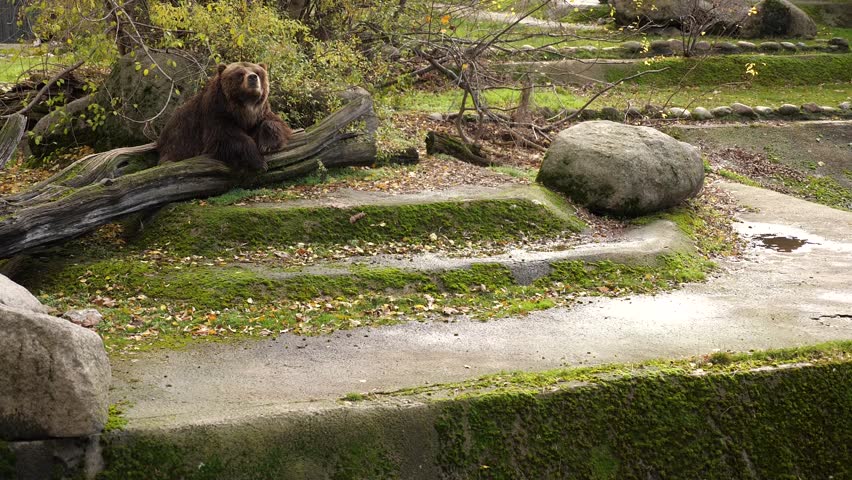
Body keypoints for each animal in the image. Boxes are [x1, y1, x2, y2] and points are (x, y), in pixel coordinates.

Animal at [156, 62, 292, 171]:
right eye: (240, 74)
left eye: (258, 72)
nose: (253, 77)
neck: (243, 108)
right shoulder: (215, 114)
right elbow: (226, 137)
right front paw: (258, 162)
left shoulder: (260, 113)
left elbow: (275, 122)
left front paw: (268, 145)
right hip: (176, 143)